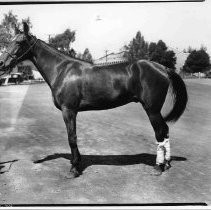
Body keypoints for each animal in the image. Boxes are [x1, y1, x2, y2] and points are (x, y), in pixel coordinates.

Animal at [0, 22, 188, 177]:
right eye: (10, 40)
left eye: (20, 42)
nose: (2, 63)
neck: (62, 70)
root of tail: (162, 68)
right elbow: (73, 137)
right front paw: (76, 163)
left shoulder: (69, 110)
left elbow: (72, 137)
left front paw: (74, 169)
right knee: (165, 131)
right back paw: (167, 164)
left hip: (152, 110)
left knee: (160, 133)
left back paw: (158, 167)